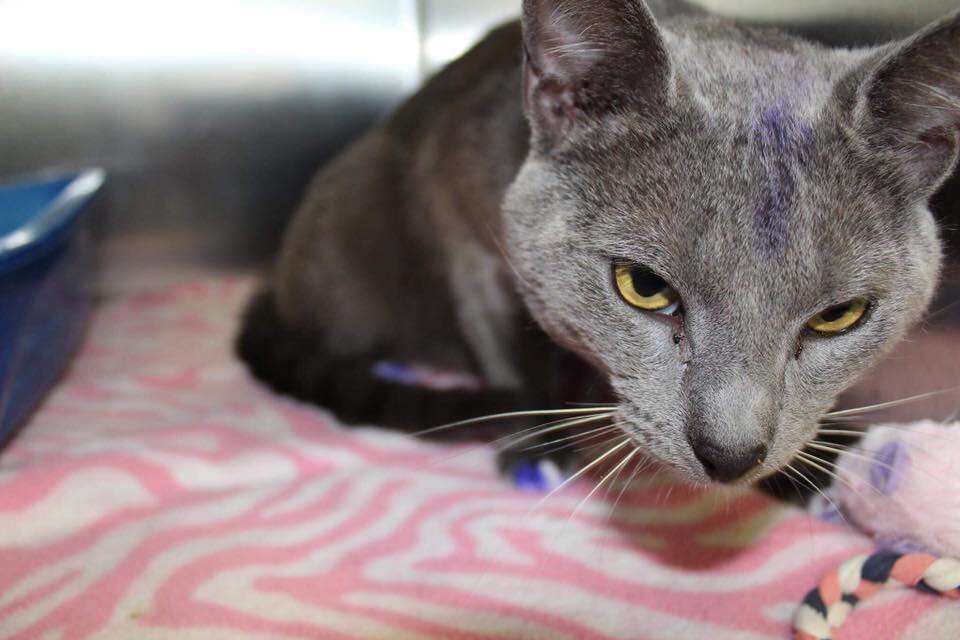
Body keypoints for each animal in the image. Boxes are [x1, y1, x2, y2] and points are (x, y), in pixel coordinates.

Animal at [236, 0, 956, 488]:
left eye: (839, 316)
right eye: (644, 288)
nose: (729, 455)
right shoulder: (462, 220)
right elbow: (502, 344)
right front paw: (536, 442)